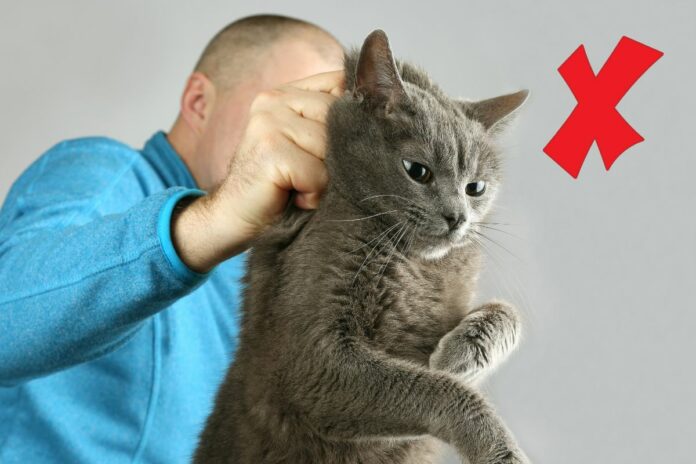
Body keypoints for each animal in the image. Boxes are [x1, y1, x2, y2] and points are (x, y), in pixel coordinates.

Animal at [193, 29, 532, 464]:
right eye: (417, 171)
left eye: (476, 188)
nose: (458, 217)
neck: (418, 265)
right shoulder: (315, 361)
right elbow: (439, 390)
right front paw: (501, 451)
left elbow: (508, 314)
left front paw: (459, 355)